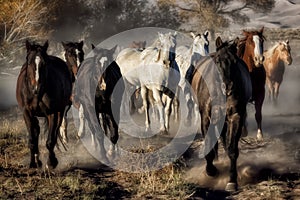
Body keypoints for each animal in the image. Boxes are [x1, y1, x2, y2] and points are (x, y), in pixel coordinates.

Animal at [16, 39, 72, 168]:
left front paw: (51, 162)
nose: (37, 87)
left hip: (60, 111)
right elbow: (32, 139)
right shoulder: (27, 113)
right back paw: (37, 160)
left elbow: (50, 140)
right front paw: (33, 163)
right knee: (36, 130)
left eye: (45, 63)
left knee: (55, 131)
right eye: (29, 62)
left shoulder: (52, 113)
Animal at [189, 36, 252, 191]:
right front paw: (211, 171)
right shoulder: (206, 117)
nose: (228, 86)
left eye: (235, 61)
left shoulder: (236, 116)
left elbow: (232, 149)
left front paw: (232, 181)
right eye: (217, 61)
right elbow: (209, 145)